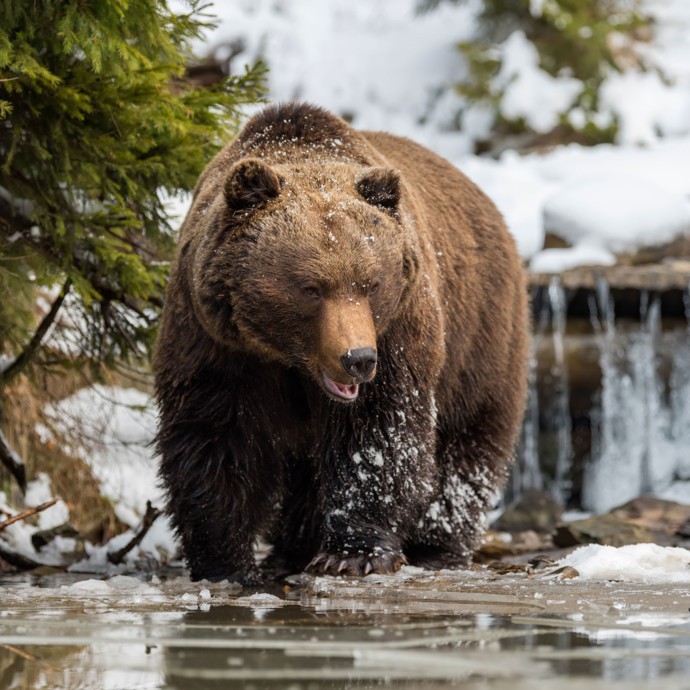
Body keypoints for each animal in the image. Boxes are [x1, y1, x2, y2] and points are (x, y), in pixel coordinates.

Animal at [152, 102, 528, 580]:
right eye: (311, 288)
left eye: (371, 283)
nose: (358, 359)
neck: (288, 358)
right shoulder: (215, 341)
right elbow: (215, 434)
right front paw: (224, 560)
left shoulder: (398, 331)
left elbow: (377, 435)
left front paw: (353, 553)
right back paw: (292, 548)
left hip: (480, 337)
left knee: (467, 442)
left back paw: (436, 545)